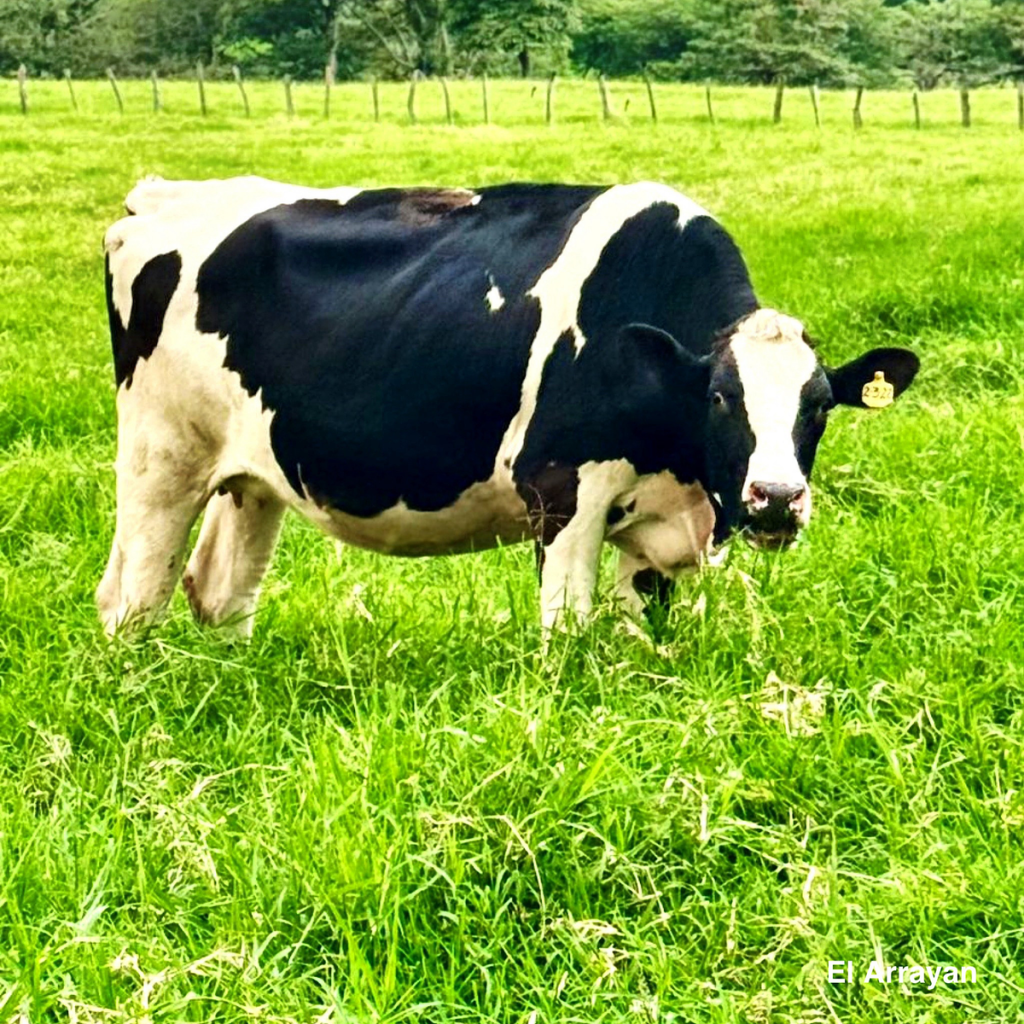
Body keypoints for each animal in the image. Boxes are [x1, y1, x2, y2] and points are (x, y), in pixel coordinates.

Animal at [97, 176, 919, 638]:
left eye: (820, 406)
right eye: (721, 397)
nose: (776, 498)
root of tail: (160, 193)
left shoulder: (659, 525)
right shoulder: (561, 490)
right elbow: (569, 632)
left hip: (253, 472)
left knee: (220, 591)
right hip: (160, 456)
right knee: (131, 598)